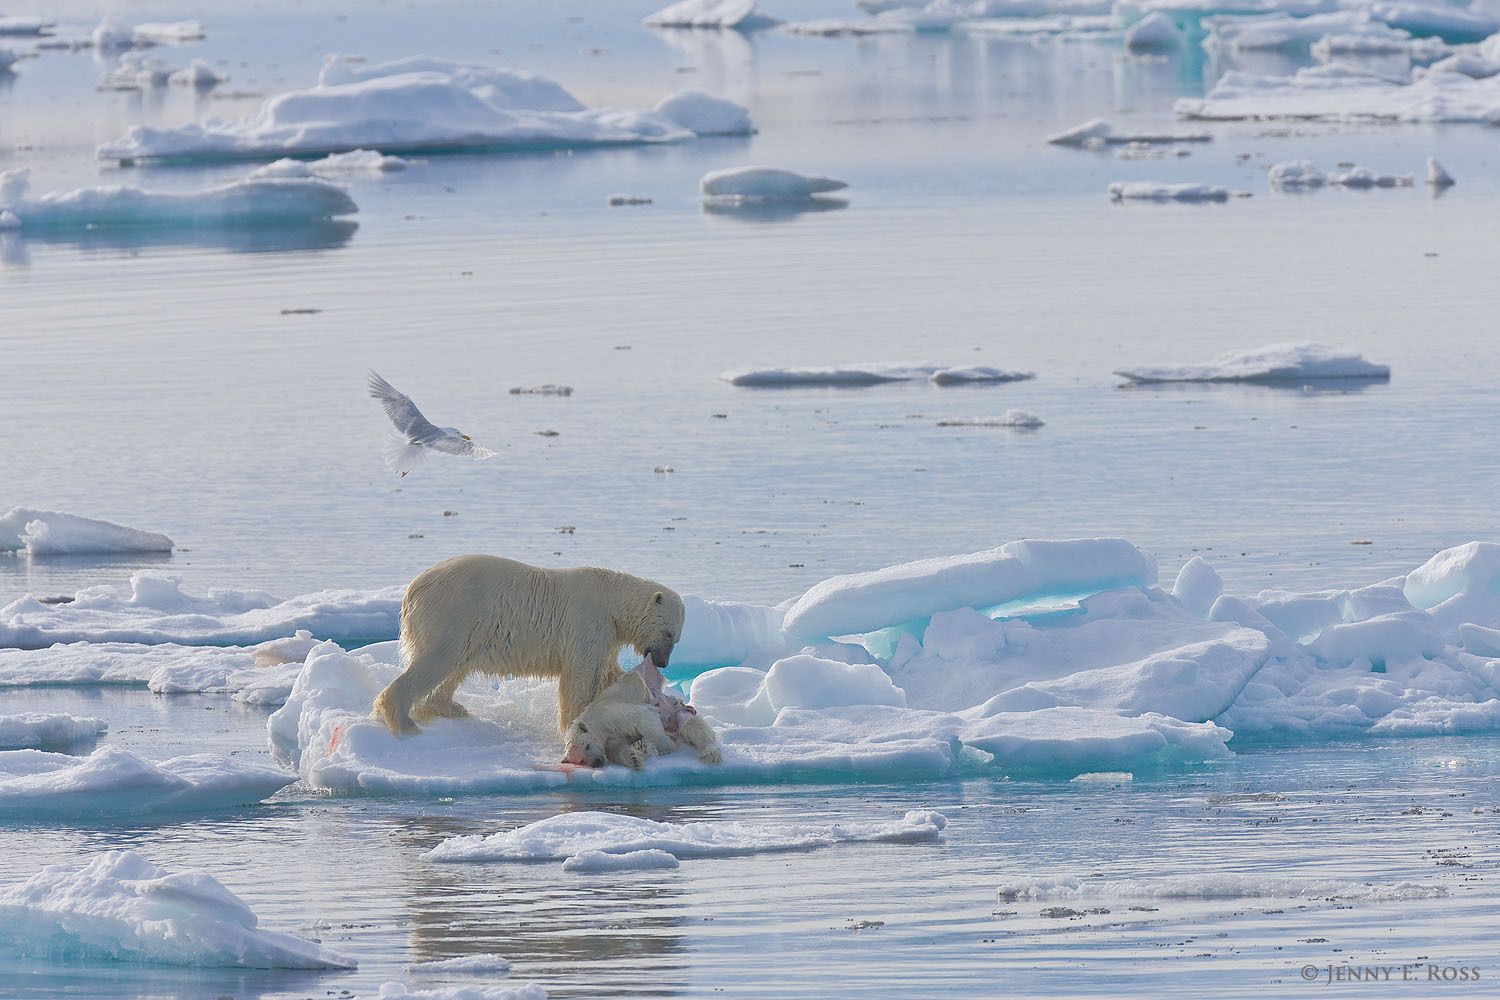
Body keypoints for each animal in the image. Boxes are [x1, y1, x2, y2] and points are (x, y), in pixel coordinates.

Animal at [371, 554, 685, 737]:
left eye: (676, 637)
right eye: (668, 633)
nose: (663, 662)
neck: (611, 600)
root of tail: (414, 588)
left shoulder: (606, 634)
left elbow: (607, 672)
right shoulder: (587, 620)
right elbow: (579, 676)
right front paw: (571, 725)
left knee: (456, 666)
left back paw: (449, 707)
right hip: (454, 611)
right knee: (437, 661)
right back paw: (405, 723)